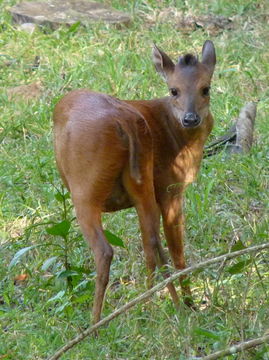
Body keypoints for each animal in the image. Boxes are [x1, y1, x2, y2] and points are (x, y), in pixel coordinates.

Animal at [52, 40, 216, 324]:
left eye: (205, 88)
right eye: (174, 90)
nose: (190, 118)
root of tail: (124, 122)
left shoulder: (170, 188)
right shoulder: (169, 187)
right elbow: (172, 249)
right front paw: (187, 304)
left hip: (85, 190)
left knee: (106, 251)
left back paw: (96, 323)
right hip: (141, 185)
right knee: (151, 242)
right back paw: (151, 305)